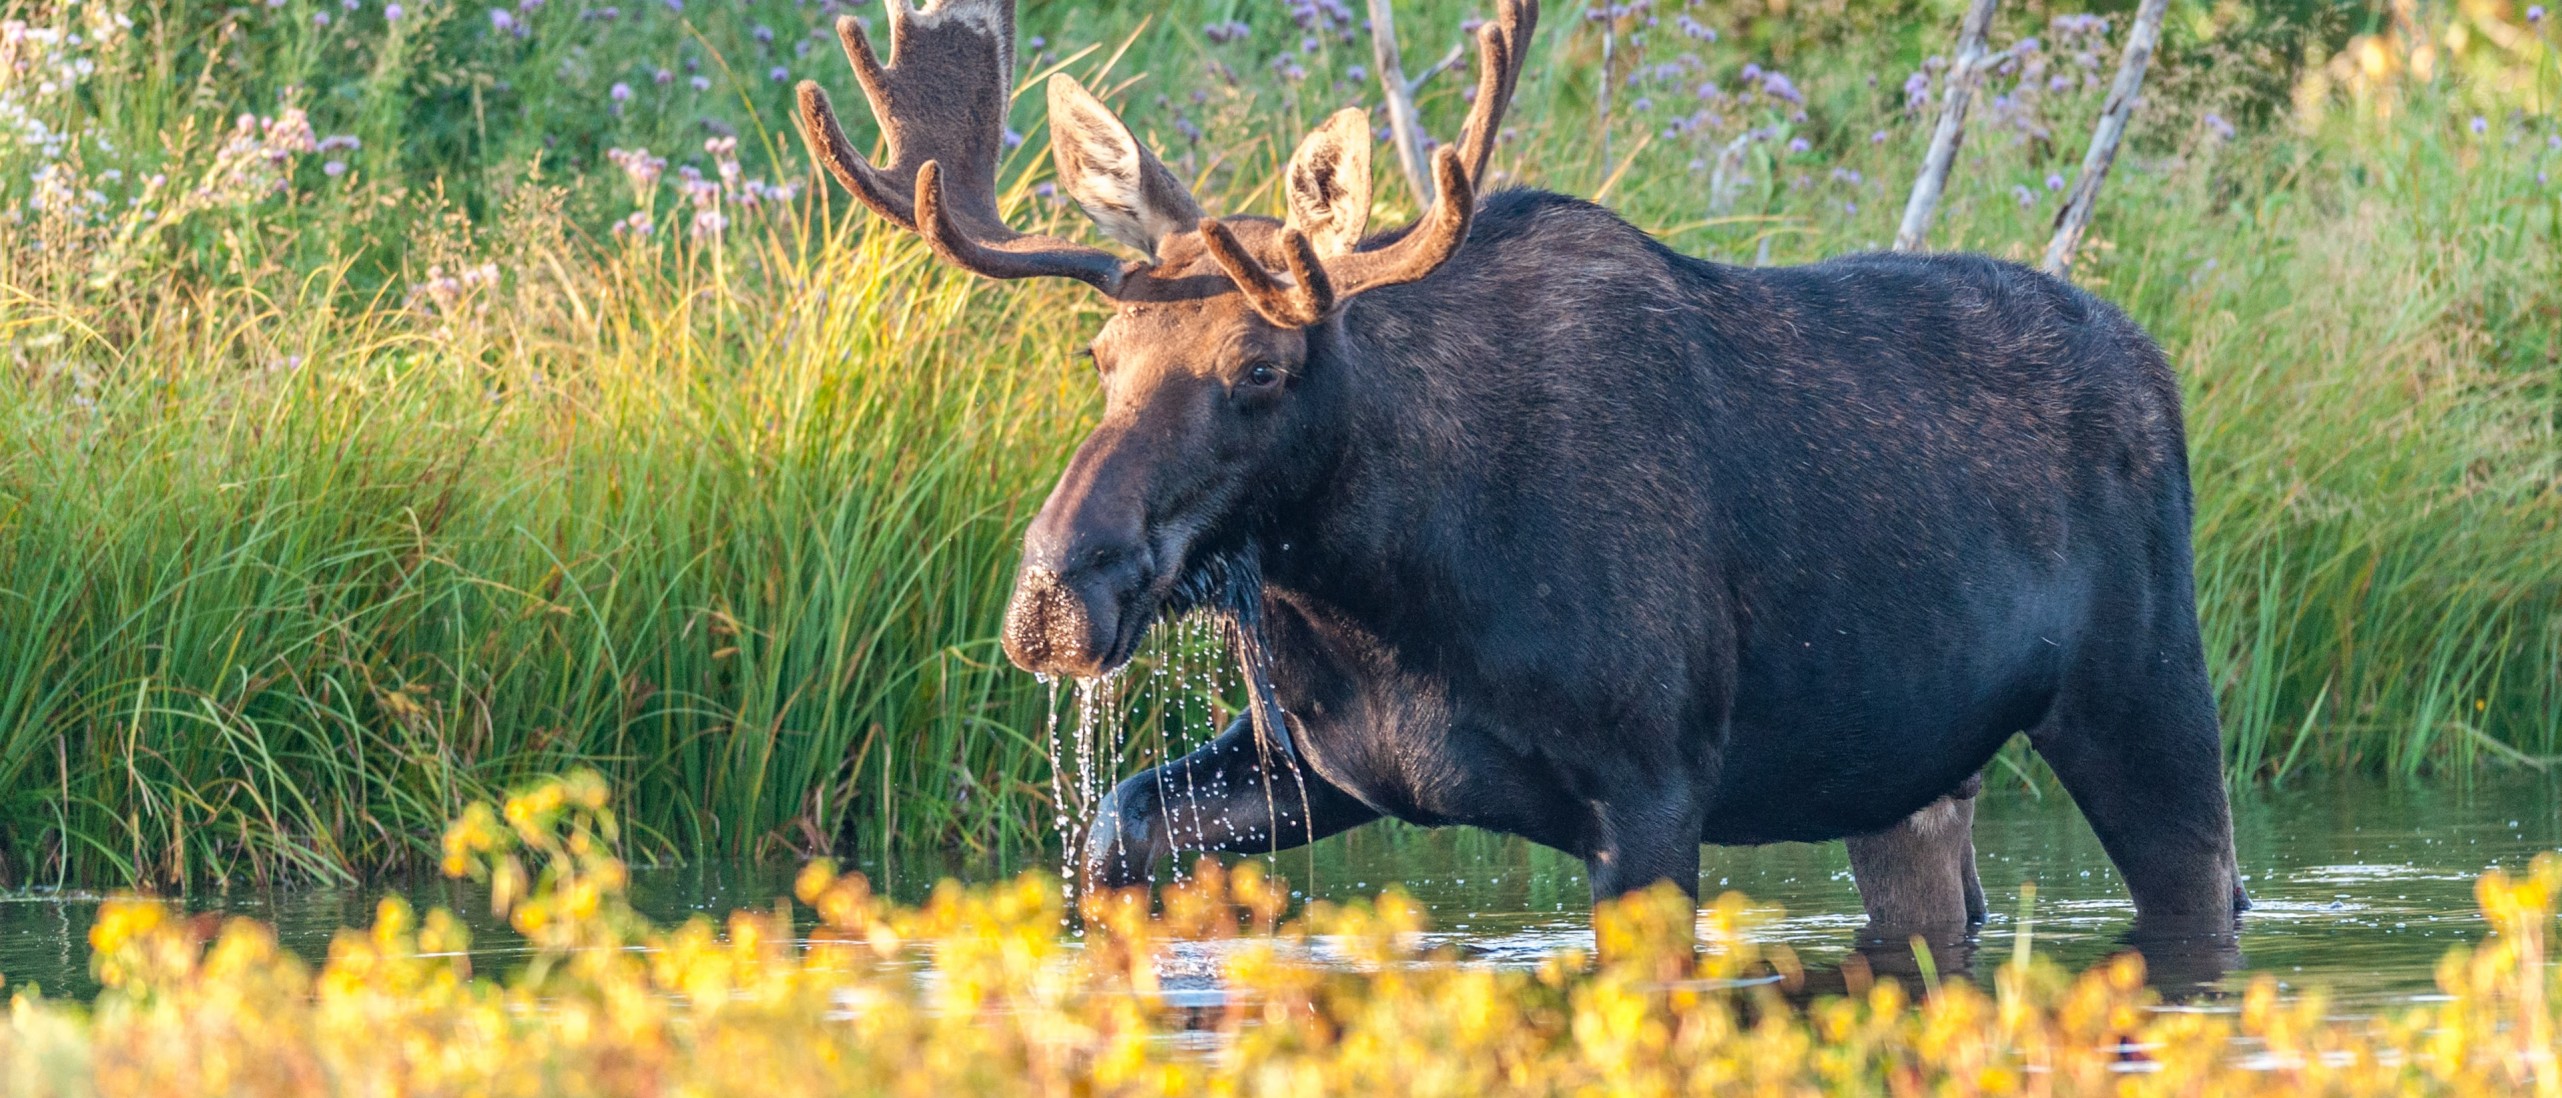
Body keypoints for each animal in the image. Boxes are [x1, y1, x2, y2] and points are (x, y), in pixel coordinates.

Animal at [794, 0, 2244, 936]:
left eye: (1259, 368)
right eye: (1100, 353)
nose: (1055, 593)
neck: (1387, 584)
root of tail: (2157, 367)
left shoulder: (1655, 780)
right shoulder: (1321, 761)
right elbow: (1116, 827)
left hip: (2146, 692)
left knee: (2205, 895)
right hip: (1904, 770)